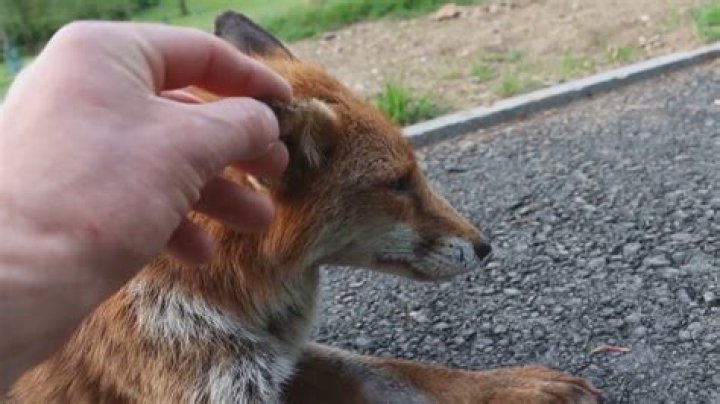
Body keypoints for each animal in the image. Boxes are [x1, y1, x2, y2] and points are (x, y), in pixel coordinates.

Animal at [8, 12, 600, 404]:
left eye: (414, 174)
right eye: (399, 183)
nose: (486, 247)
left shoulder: (271, 361)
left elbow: (398, 371)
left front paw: (508, 385)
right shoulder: (210, 388)